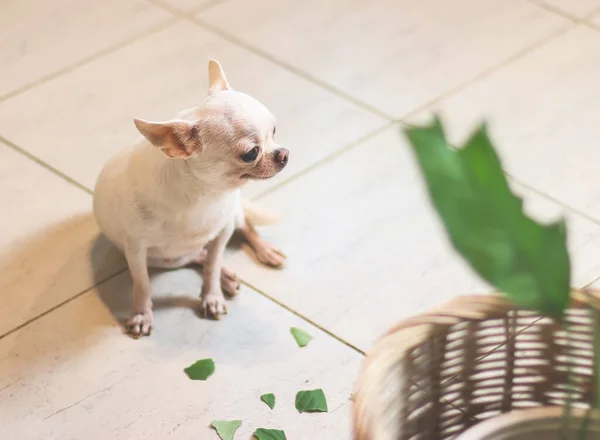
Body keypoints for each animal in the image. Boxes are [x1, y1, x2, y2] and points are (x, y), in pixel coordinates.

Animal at [93, 60, 288, 336]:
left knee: (242, 230)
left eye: (274, 131)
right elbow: (142, 283)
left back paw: (263, 251)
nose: (284, 153)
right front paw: (142, 314)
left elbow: (213, 264)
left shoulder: (223, 230)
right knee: (197, 255)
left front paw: (212, 295)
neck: (204, 194)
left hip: (233, 218)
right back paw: (226, 275)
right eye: (251, 153)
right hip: (162, 259)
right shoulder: (136, 249)